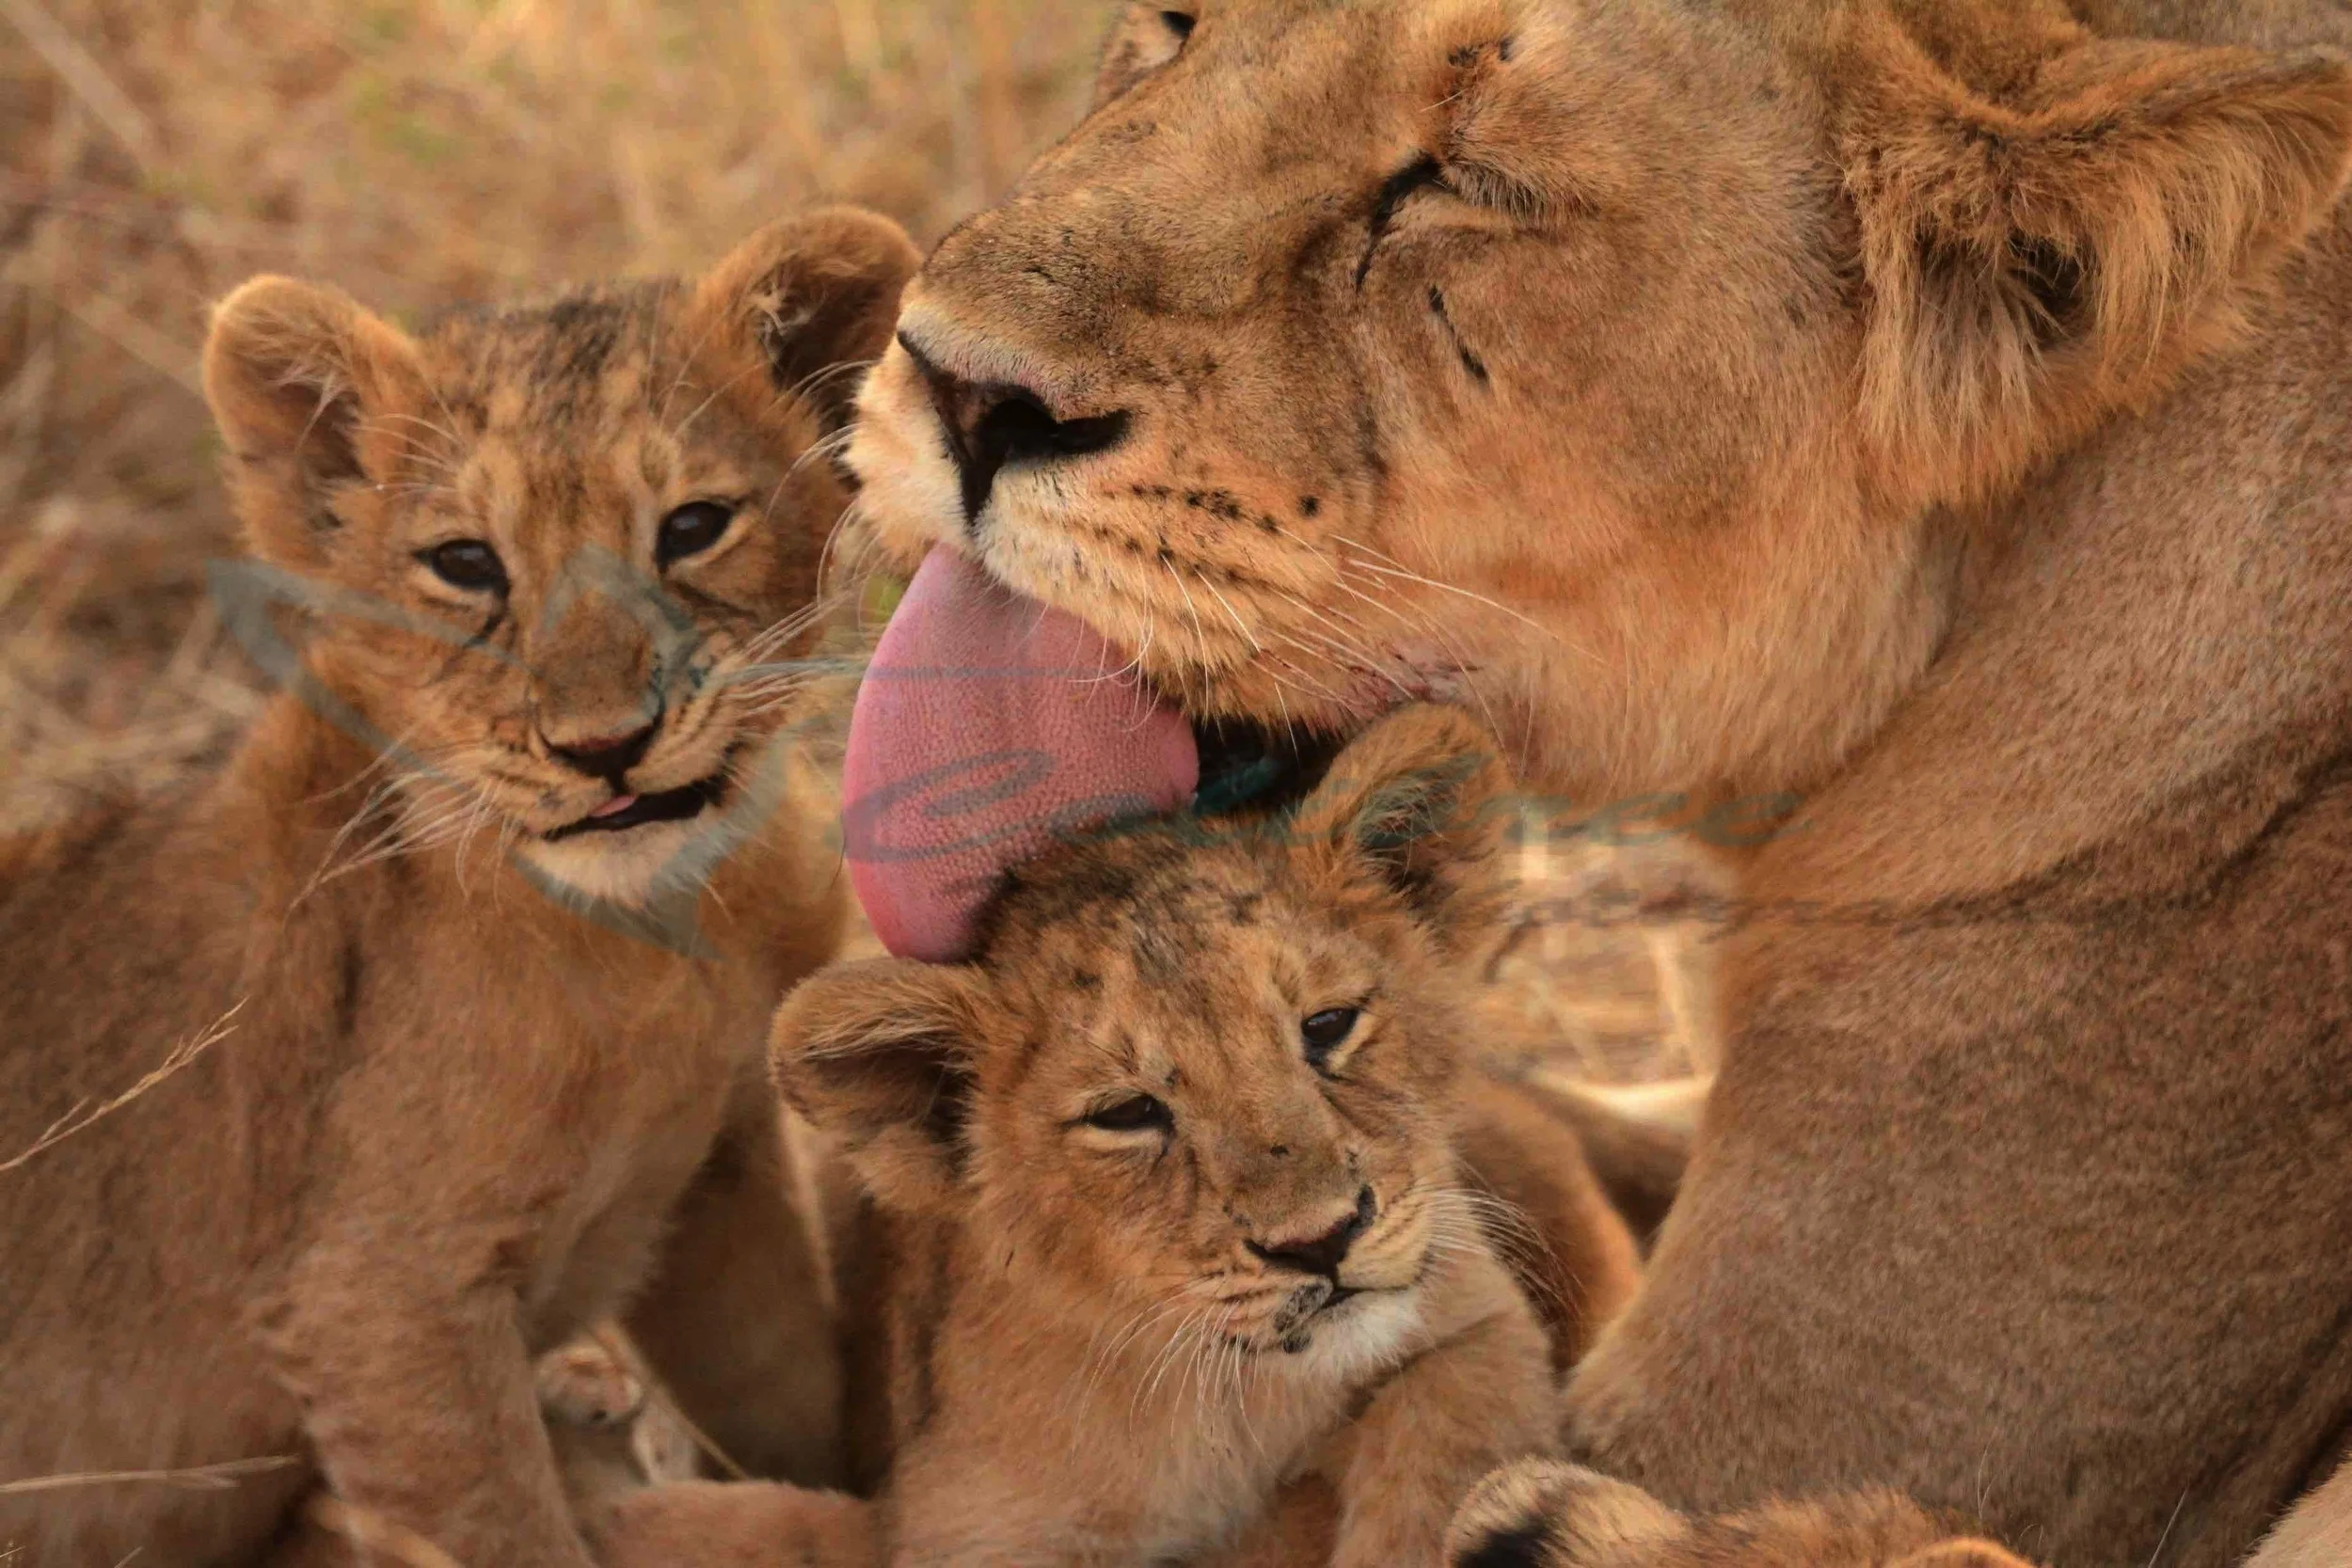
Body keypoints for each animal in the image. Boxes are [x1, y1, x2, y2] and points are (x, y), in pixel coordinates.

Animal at [0, 209, 916, 1567]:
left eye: (692, 526)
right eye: (466, 564)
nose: (604, 746)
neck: (653, 944)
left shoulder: (719, 1171)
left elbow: (788, 1394)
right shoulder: (375, 1301)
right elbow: (513, 1530)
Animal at [588, 705, 1644, 1568]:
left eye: (1328, 1024)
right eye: (1128, 1114)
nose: (1320, 1240)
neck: (1242, 1401)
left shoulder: (1475, 1312)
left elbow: (1451, 1430)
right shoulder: (963, 1522)